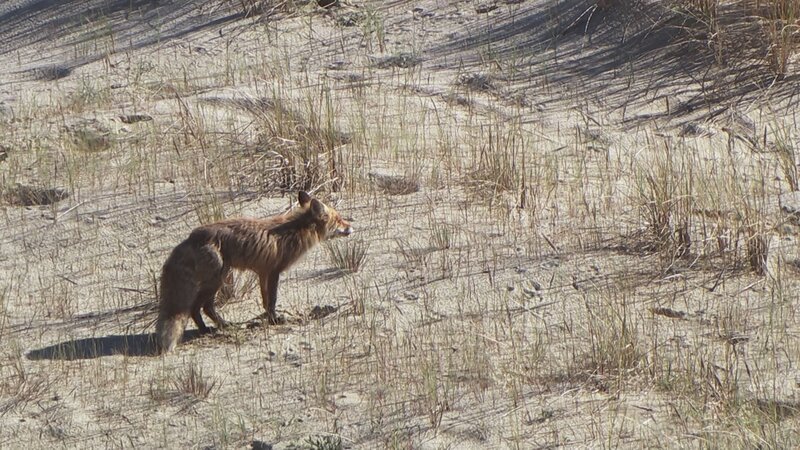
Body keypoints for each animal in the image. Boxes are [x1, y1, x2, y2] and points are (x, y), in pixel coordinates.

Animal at [155, 191, 353, 353]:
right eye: (339, 219)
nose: (352, 227)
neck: (295, 230)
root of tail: (190, 238)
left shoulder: (262, 272)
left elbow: (265, 301)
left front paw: (268, 318)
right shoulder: (274, 271)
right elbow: (272, 300)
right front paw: (275, 320)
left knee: (199, 308)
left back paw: (212, 328)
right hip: (217, 280)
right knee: (201, 307)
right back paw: (217, 328)